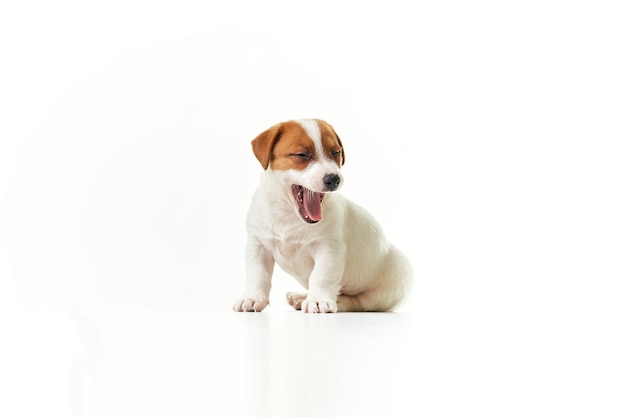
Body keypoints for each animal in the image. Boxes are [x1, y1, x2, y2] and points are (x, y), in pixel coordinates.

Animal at [232, 118, 412, 312]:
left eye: (335, 153)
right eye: (302, 155)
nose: (334, 179)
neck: (289, 215)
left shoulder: (329, 249)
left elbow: (321, 277)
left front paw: (318, 300)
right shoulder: (257, 246)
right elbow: (257, 275)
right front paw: (252, 297)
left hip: (387, 288)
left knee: (359, 302)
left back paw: (337, 302)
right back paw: (301, 297)